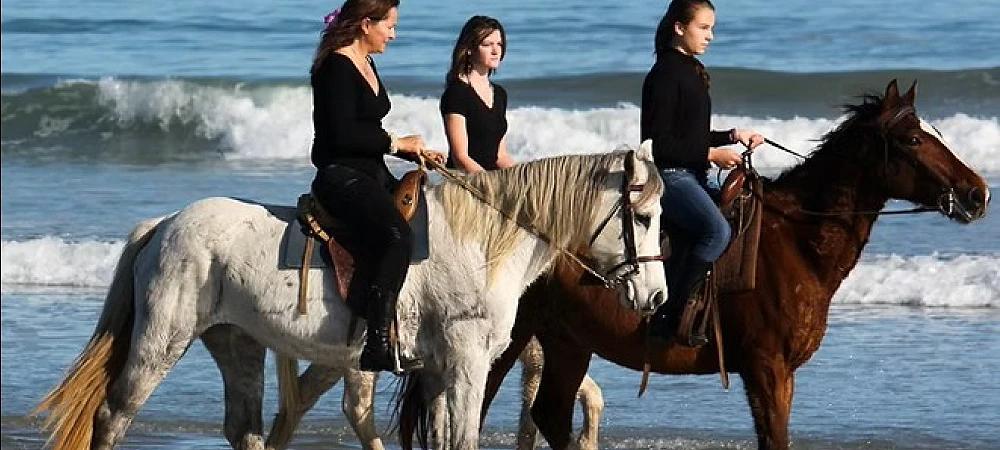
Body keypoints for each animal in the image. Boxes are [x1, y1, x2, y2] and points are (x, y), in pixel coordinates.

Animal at [32, 147, 670, 450]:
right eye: (643, 216)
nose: (658, 296)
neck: (484, 240)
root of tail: (163, 225)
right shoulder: (465, 363)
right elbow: (462, 438)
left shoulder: (440, 371)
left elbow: (443, 438)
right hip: (162, 341)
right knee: (114, 415)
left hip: (237, 344)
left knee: (246, 429)